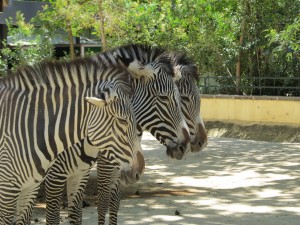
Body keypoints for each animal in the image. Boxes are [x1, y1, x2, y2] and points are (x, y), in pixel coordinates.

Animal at [0, 57, 144, 224]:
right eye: (122, 121)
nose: (139, 170)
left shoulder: (71, 178)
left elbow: (76, 216)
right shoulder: (40, 182)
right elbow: (53, 218)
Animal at [43, 44, 191, 225]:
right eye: (163, 98)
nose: (185, 145)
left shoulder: (101, 169)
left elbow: (112, 203)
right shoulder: (56, 176)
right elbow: (102, 202)